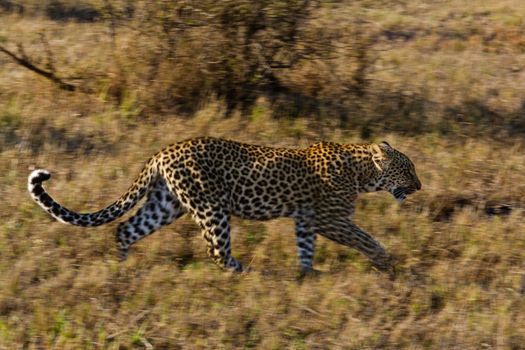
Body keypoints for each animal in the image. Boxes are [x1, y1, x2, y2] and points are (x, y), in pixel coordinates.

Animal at [28, 137, 422, 276]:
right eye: (408, 169)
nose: (419, 186)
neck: (362, 170)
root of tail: (163, 151)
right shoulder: (330, 219)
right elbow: (365, 238)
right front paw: (386, 260)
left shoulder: (306, 220)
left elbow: (306, 248)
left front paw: (307, 275)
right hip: (210, 207)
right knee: (216, 250)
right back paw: (241, 270)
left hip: (165, 205)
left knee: (125, 228)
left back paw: (121, 270)